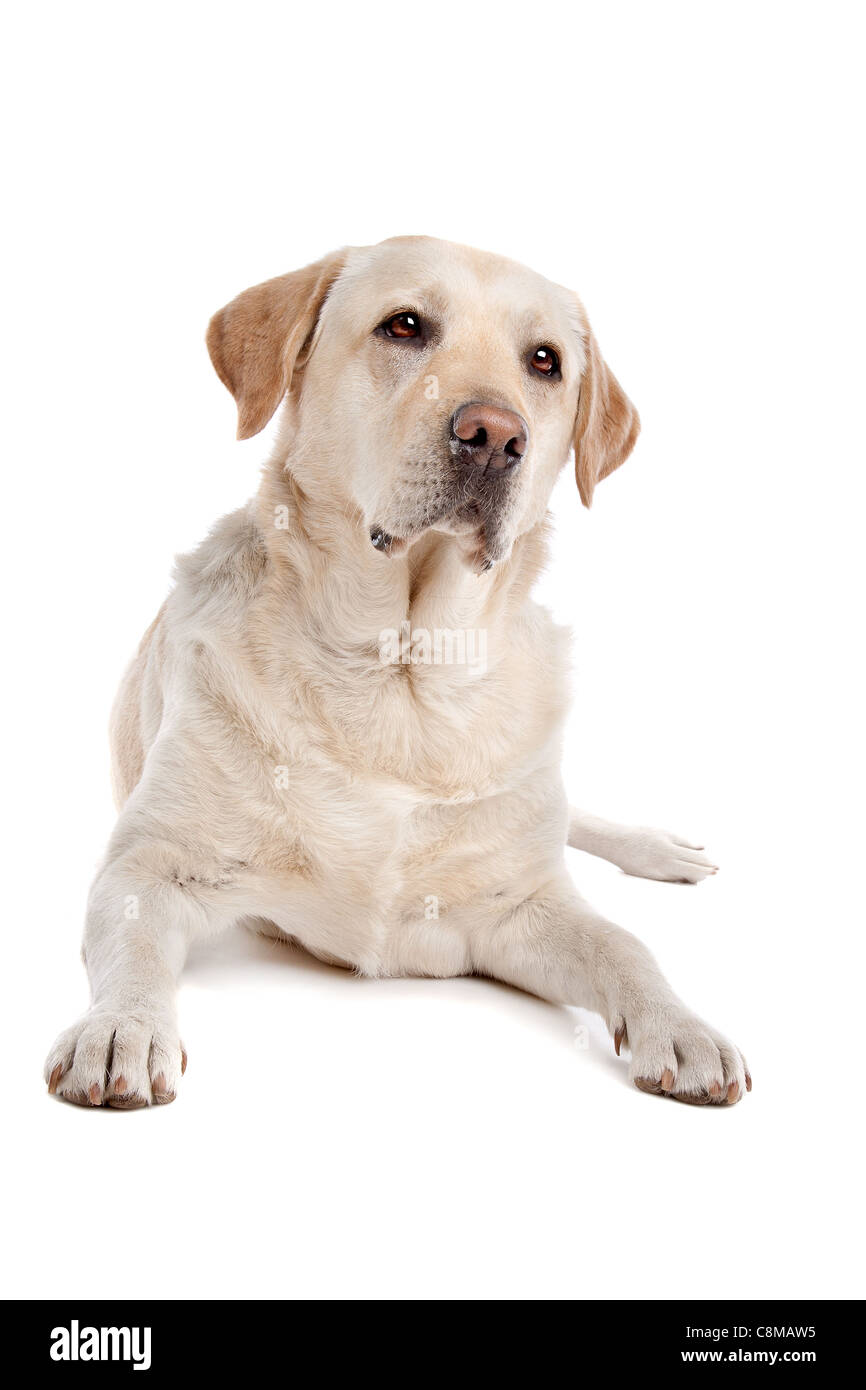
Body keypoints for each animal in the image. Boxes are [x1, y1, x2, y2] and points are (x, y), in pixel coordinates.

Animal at [44, 236, 750, 1106]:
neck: (400, 681)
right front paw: (122, 1028)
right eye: (404, 325)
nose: (495, 434)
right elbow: (135, 940)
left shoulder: (521, 905)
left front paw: (683, 1028)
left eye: (545, 361)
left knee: (574, 817)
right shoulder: (150, 862)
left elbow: (625, 946)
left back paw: (659, 848)